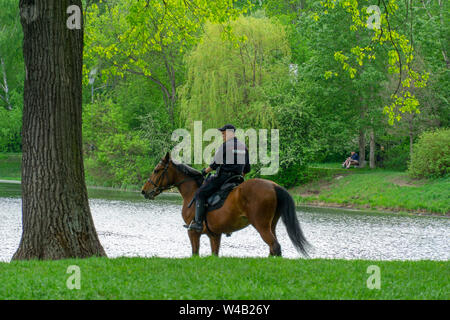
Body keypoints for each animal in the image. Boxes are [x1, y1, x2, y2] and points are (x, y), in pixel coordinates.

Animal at [141, 152, 310, 258]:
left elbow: (195, 253)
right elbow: (214, 253)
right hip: (271, 225)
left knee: (275, 247)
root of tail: (274, 186)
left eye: (156, 170)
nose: (144, 191)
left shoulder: (193, 233)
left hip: (261, 226)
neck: (192, 191)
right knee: (273, 248)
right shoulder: (214, 235)